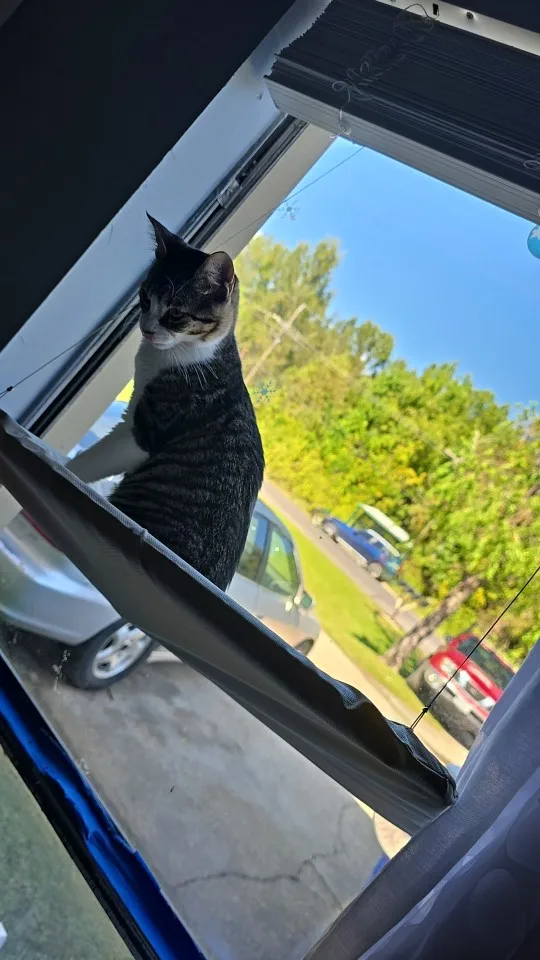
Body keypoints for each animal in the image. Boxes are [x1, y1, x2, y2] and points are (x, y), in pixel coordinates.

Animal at [68, 214, 264, 591]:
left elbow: (89, 461)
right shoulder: (130, 414)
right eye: (144, 299)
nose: (146, 329)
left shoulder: (142, 431)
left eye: (175, 313)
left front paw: (66, 467)